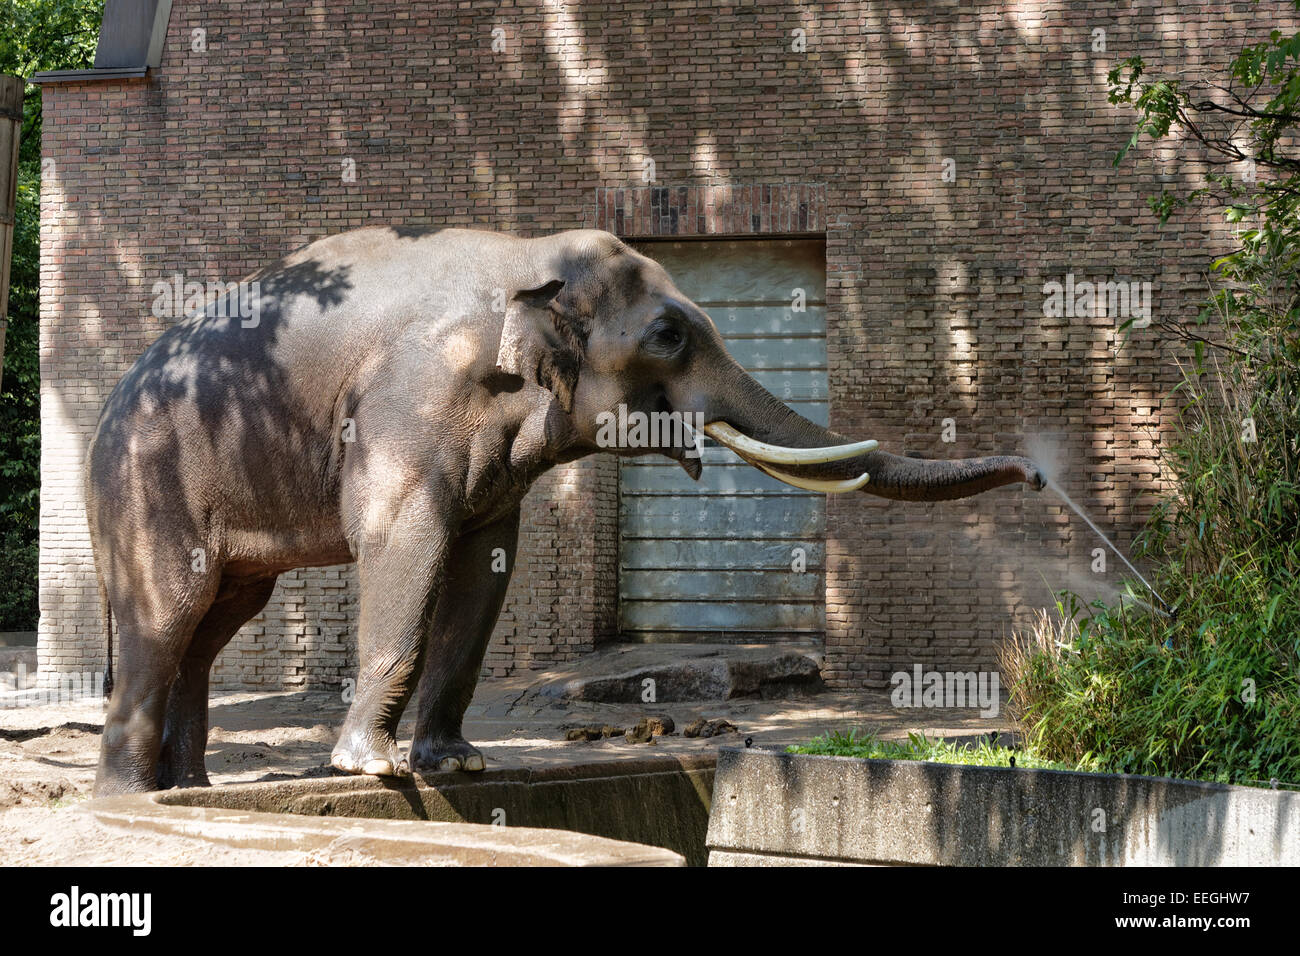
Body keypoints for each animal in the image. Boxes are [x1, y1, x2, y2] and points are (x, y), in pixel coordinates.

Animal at [86, 222, 1045, 790]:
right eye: (670, 335)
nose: (1040, 477)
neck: (527, 258)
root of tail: (106, 406)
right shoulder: (407, 405)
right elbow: (406, 544)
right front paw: (374, 771)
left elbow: (484, 562)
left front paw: (460, 765)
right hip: (147, 486)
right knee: (167, 615)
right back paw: (132, 798)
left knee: (216, 622)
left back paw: (185, 791)